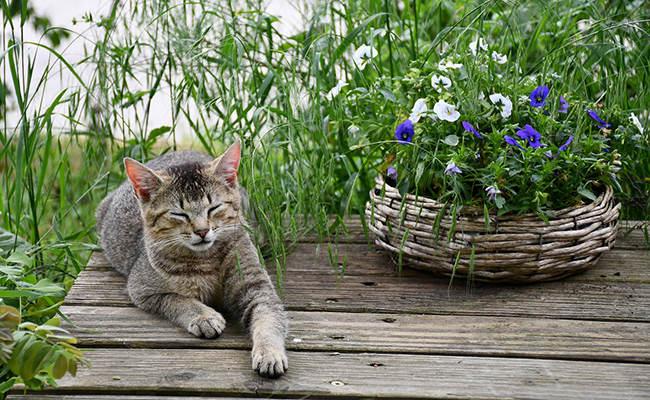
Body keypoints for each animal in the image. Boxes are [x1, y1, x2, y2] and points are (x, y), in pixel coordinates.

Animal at [95, 141, 288, 378]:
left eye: (214, 207)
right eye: (179, 214)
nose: (202, 231)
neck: (205, 260)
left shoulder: (257, 287)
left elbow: (268, 318)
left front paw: (269, 352)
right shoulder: (142, 289)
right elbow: (178, 299)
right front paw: (204, 316)